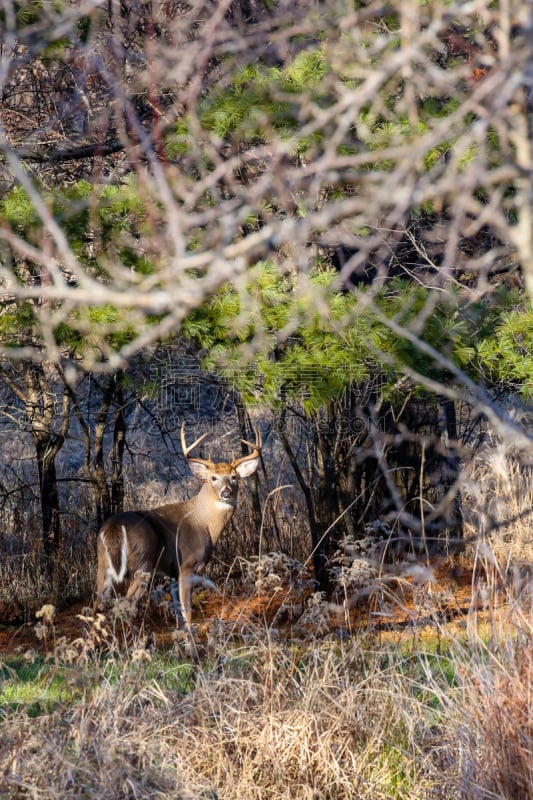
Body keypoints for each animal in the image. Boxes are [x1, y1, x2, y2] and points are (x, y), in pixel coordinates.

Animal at [96, 424, 262, 624]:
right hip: (142, 564)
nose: (226, 493)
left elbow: (178, 614)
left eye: (234, 477)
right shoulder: (187, 565)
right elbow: (187, 612)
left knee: (97, 604)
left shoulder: (173, 575)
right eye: (213, 477)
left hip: (103, 564)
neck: (204, 522)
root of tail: (113, 527)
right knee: (128, 603)